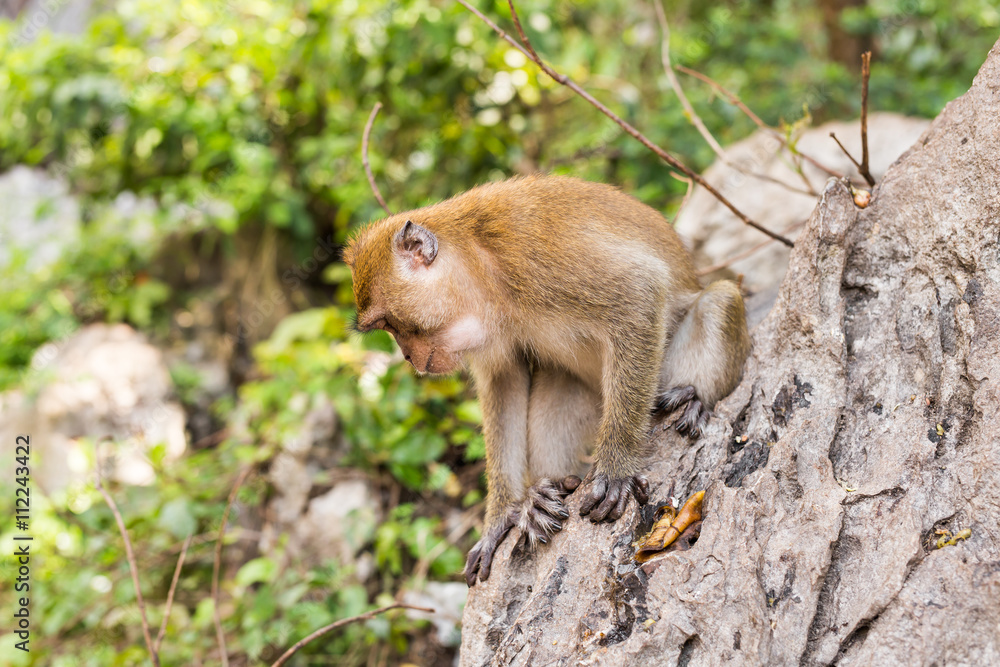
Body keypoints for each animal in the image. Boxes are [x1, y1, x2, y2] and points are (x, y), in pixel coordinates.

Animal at [343, 175, 751, 586]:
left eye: (389, 323)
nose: (407, 357)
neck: (478, 265)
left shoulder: (535, 260)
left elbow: (639, 297)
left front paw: (614, 468)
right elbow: (505, 382)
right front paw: (503, 516)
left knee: (720, 299)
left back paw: (694, 398)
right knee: (556, 388)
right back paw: (548, 493)